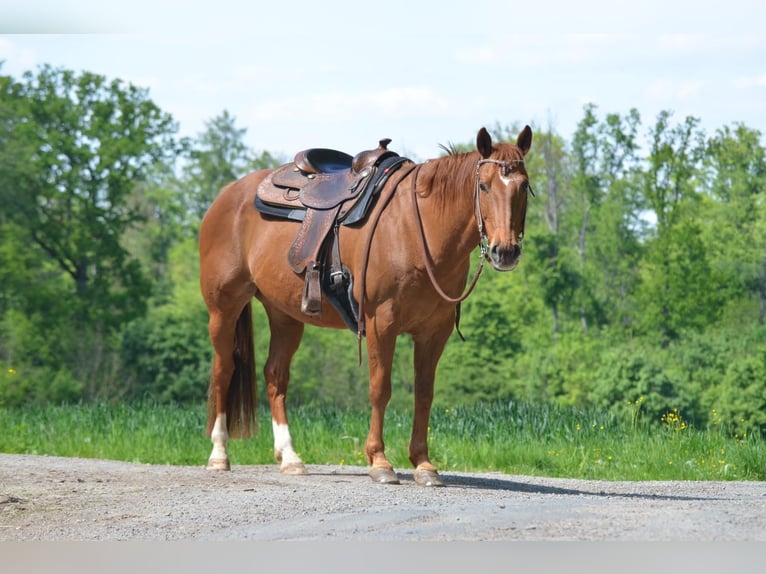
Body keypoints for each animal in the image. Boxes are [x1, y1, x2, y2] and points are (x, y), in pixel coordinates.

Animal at [198, 125, 536, 486]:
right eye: (484, 186)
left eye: (523, 186)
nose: (505, 251)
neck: (420, 229)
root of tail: (227, 195)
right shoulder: (380, 322)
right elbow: (380, 389)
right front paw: (380, 461)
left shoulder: (434, 332)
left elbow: (424, 394)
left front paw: (423, 464)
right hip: (224, 309)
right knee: (223, 371)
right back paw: (218, 454)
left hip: (285, 315)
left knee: (275, 376)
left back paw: (290, 458)